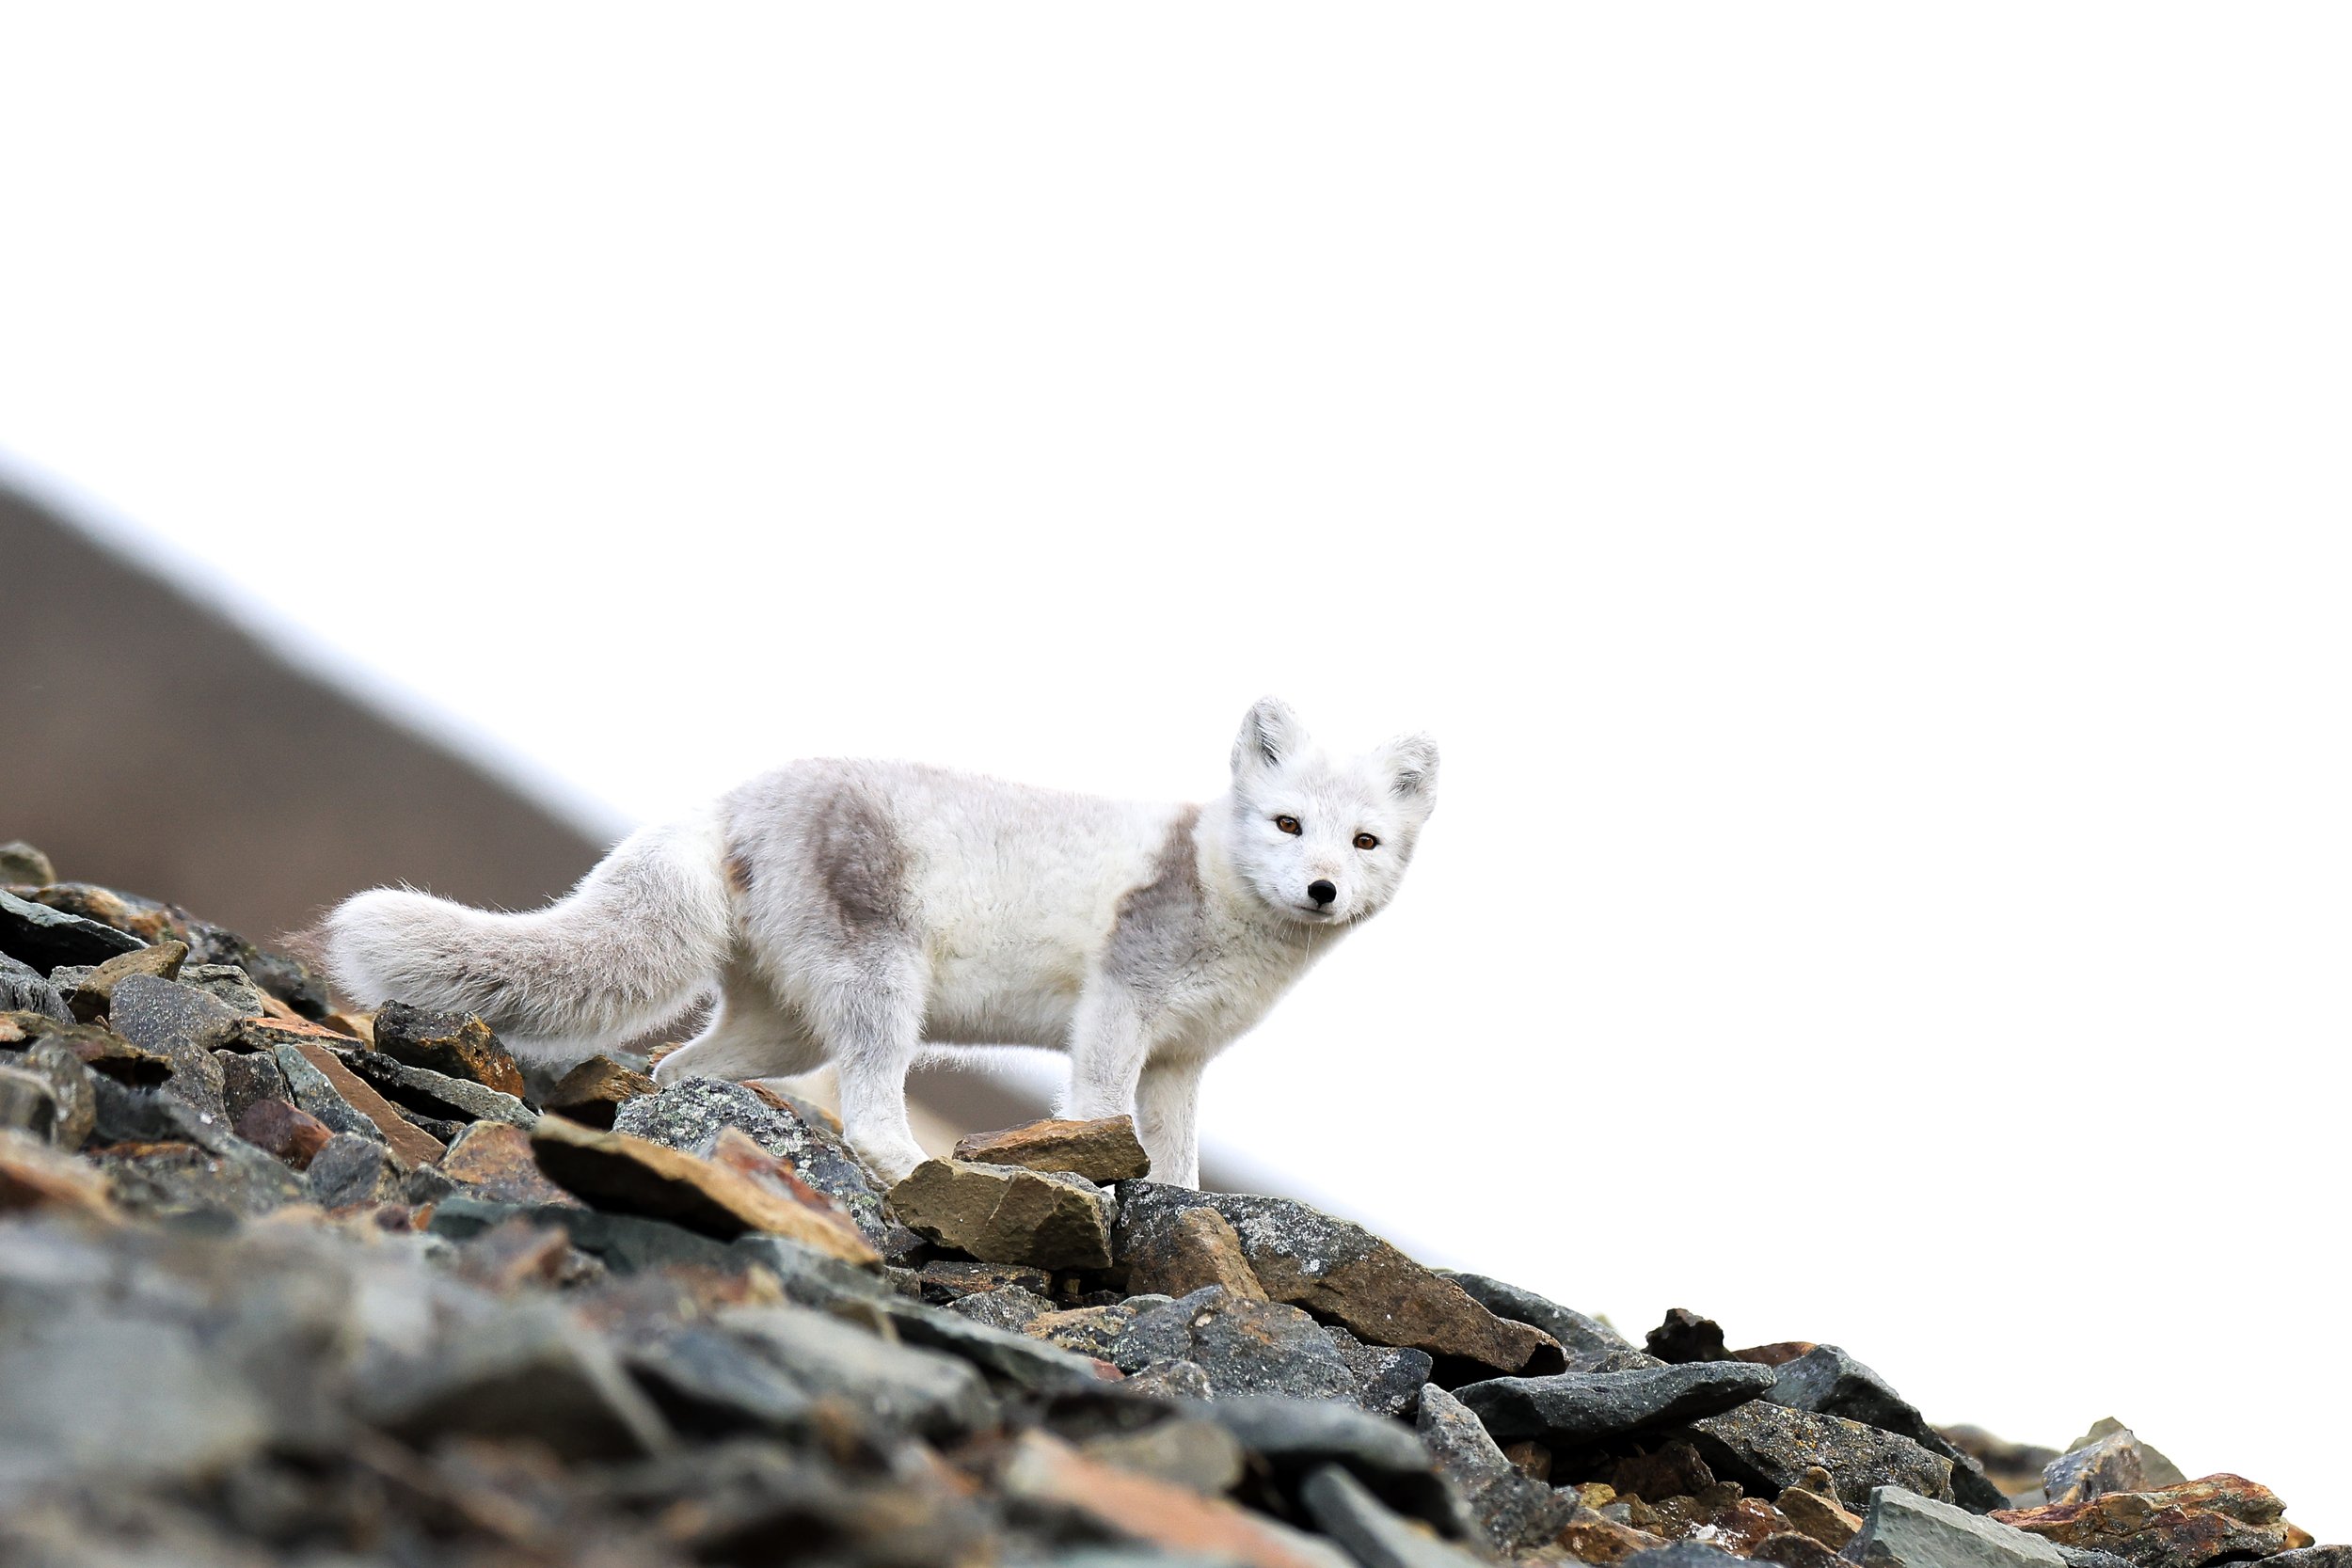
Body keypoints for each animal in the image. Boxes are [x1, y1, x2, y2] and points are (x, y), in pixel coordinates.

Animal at [315, 697, 1437, 1187]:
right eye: (1288, 823)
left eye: (1364, 840)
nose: (1322, 887)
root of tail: (739, 796)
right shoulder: (1119, 1009)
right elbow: (1100, 1108)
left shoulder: (1183, 1059)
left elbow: (1177, 1156)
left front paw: (1170, 1204)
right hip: (880, 985)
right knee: (862, 1103)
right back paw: (906, 1161)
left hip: (784, 1027)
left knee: (679, 1065)